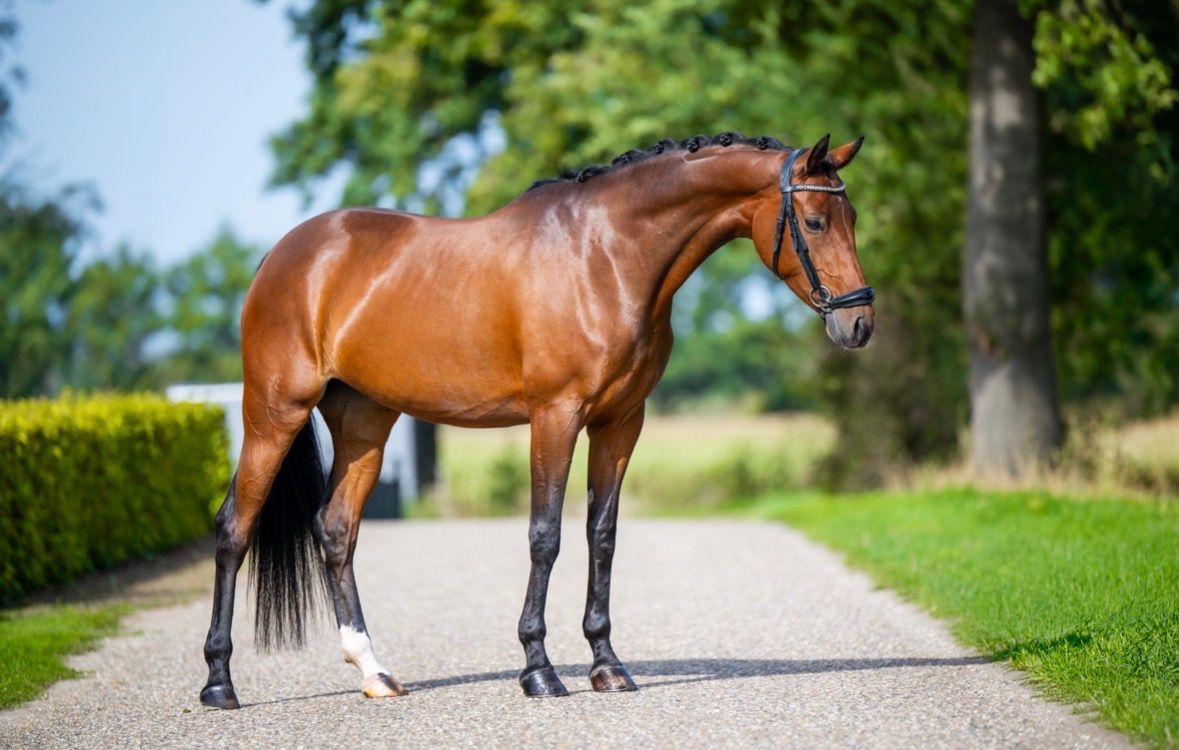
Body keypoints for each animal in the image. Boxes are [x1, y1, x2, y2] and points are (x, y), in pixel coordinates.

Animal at [199, 131, 875, 709]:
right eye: (814, 222)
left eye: (853, 220)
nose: (859, 323)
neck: (605, 256)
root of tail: (282, 255)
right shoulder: (556, 416)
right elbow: (544, 535)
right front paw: (539, 670)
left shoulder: (620, 422)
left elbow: (601, 535)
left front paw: (608, 665)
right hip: (273, 414)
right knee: (234, 527)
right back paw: (218, 683)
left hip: (364, 421)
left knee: (337, 529)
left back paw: (375, 673)